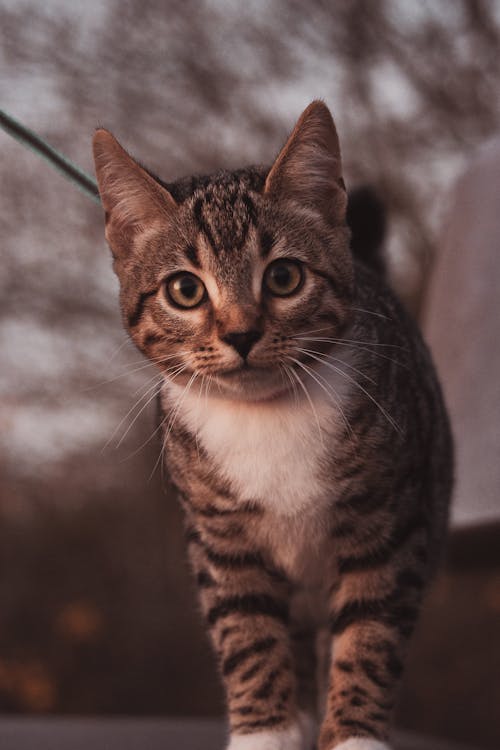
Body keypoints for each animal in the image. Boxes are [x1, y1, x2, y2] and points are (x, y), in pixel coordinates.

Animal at [92, 101, 452, 750]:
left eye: (284, 277)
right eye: (185, 290)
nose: (240, 333)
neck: (265, 415)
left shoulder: (390, 518)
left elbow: (370, 632)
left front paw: (354, 736)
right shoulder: (220, 537)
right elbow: (248, 633)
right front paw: (266, 731)